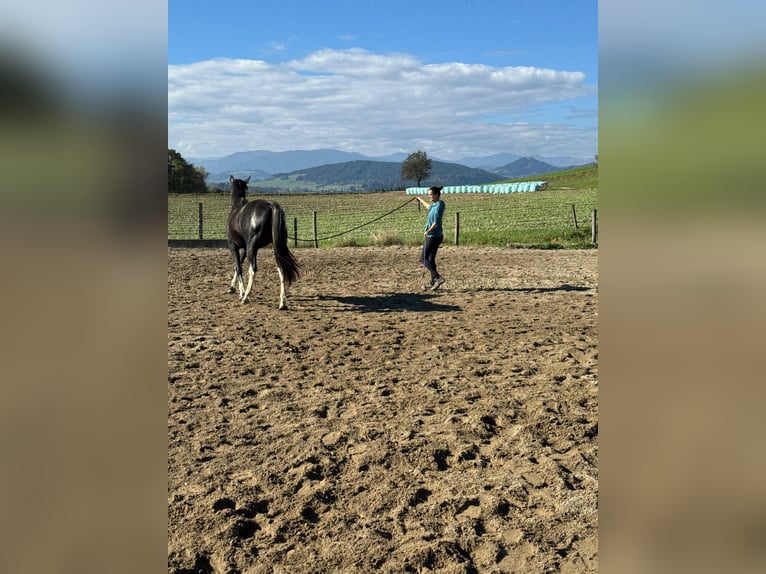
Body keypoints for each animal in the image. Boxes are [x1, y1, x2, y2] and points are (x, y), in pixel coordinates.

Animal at [226, 176, 300, 309]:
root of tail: (272, 206)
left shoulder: (233, 246)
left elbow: (238, 266)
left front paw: (241, 292)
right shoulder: (244, 248)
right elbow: (238, 265)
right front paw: (232, 287)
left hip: (251, 249)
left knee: (253, 269)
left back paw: (246, 297)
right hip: (276, 248)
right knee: (281, 269)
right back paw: (282, 302)